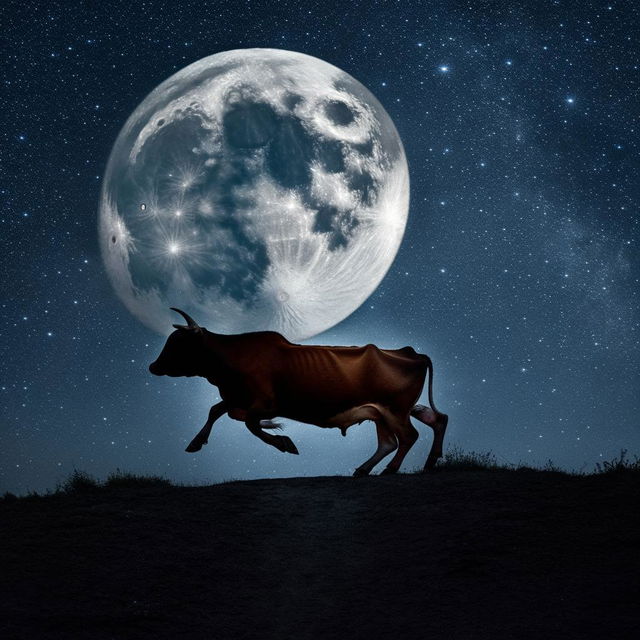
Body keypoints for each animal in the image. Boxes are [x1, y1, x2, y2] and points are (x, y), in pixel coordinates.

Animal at [150, 308, 450, 478]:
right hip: (384, 412)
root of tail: (411, 352)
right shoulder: (237, 397)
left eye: (179, 344)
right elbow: (216, 410)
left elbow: (251, 424)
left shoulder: (266, 403)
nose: (153, 366)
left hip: (394, 409)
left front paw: (284, 443)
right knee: (422, 426)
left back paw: (391, 469)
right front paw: (196, 442)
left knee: (408, 436)